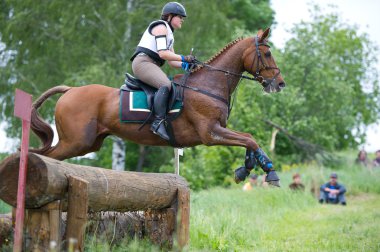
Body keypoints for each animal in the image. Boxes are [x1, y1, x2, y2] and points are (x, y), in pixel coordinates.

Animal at [30, 29, 284, 185]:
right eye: (267, 53)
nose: (280, 84)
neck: (208, 85)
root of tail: (70, 90)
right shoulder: (210, 133)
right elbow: (250, 139)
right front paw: (268, 171)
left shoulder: (216, 131)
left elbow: (248, 139)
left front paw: (247, 168)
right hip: (75, 142)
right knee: (48, 158)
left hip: (88, 143)